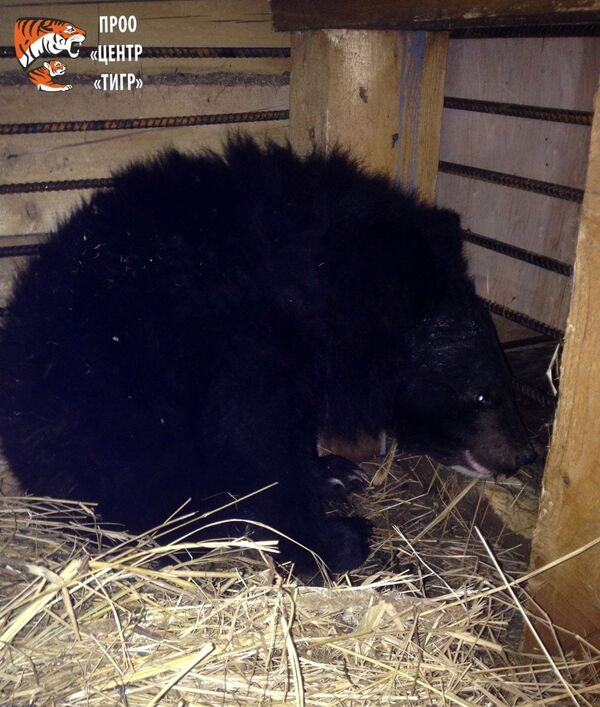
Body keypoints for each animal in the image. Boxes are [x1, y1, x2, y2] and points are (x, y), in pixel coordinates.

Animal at [0, 137, 534, 573]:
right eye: (483, 395)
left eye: (506, 385)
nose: (521, 456)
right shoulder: (247, 342)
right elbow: (260, 439)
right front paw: (332, 541)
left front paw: (332, 471)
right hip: (111, 405)